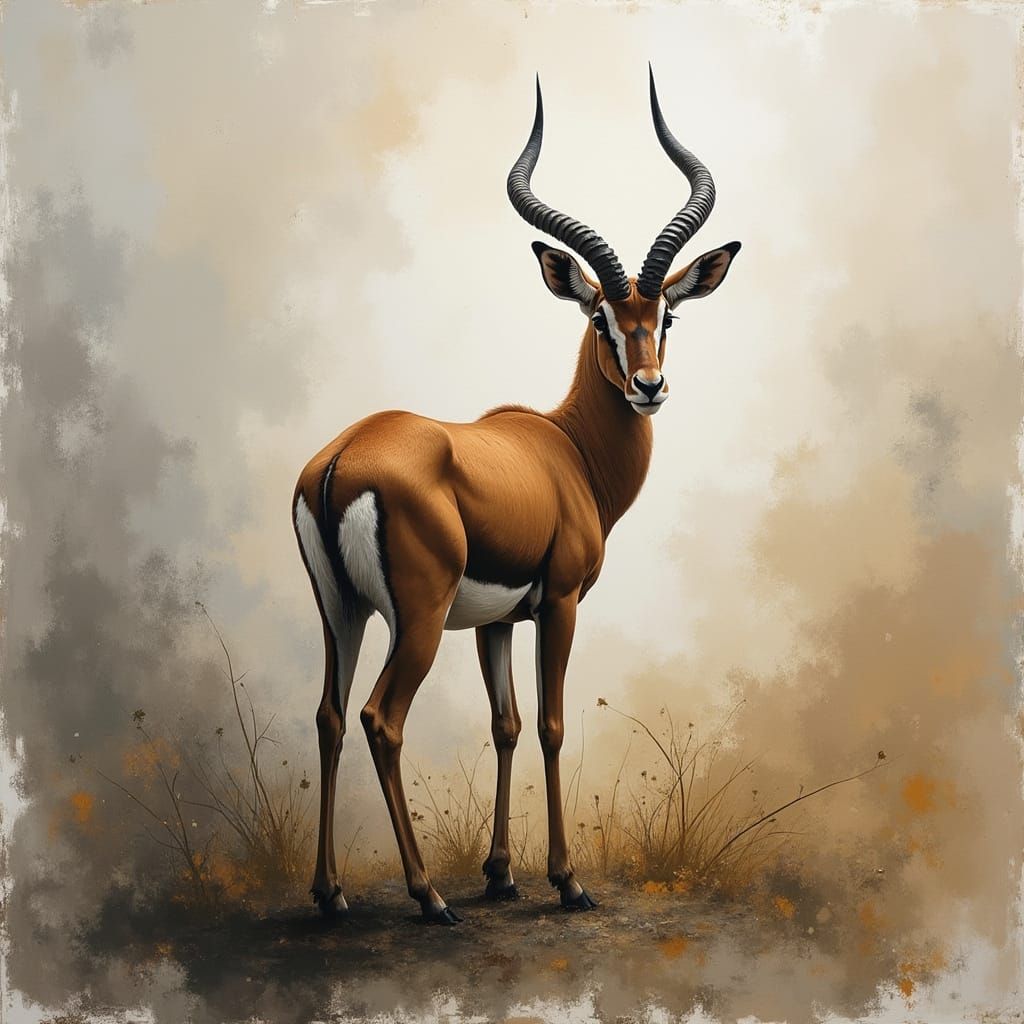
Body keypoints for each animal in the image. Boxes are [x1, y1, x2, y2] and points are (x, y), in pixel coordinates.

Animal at [292, 68, 740, 924]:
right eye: (600, 317)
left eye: (666, 315)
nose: (649, 386)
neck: (567, 454)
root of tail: (339, 463)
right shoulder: (558, 602)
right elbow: (552, 724)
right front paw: (567, 881)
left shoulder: (494, 621)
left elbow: (504, 723)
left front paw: (501, 873)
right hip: (416, 621)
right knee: (379, 719)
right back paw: (430, 897)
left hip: (342, 613)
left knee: (330, 714)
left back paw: (330, 895)